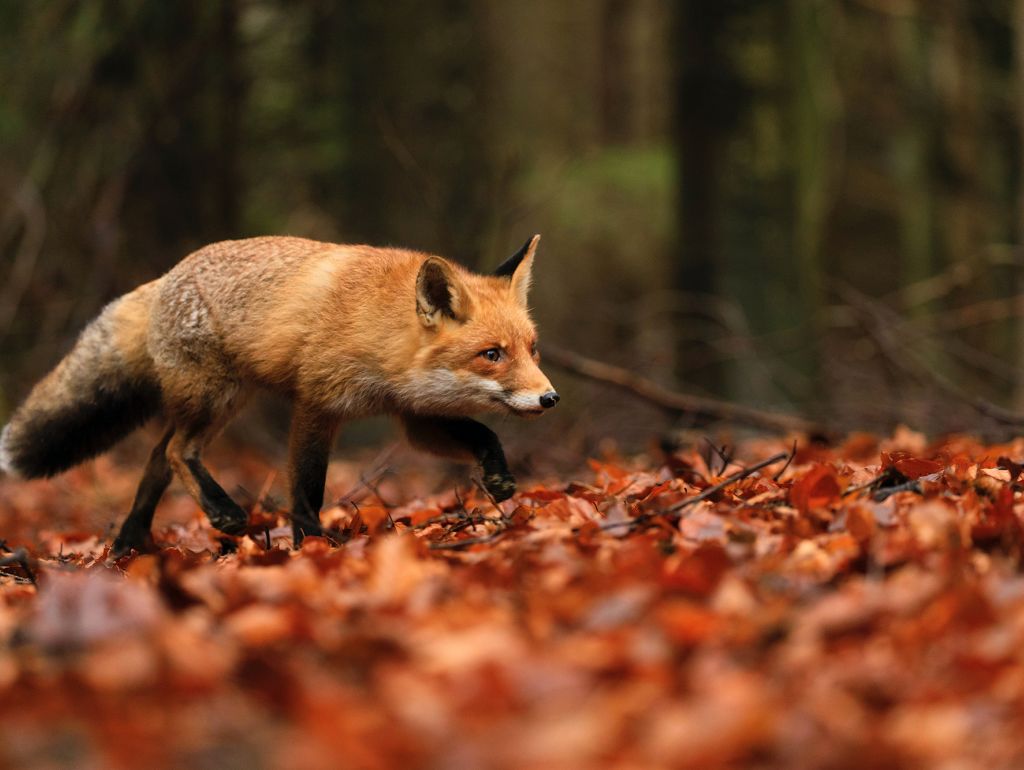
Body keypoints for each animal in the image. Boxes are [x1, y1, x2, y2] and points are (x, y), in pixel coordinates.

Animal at [0, 234, 561, 552]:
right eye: (492, 354)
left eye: (533, 349)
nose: (550, 399)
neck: (381, 330)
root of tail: (163, 279)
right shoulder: (317, 403)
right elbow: (307, 488)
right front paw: (310, 547)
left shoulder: (412, 414)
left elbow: (484, 432)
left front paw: (498, 477)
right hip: (216, 397)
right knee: (178, 452)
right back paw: (221, 513)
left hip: (220, 401)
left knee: (157, 458)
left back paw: (128, 546)